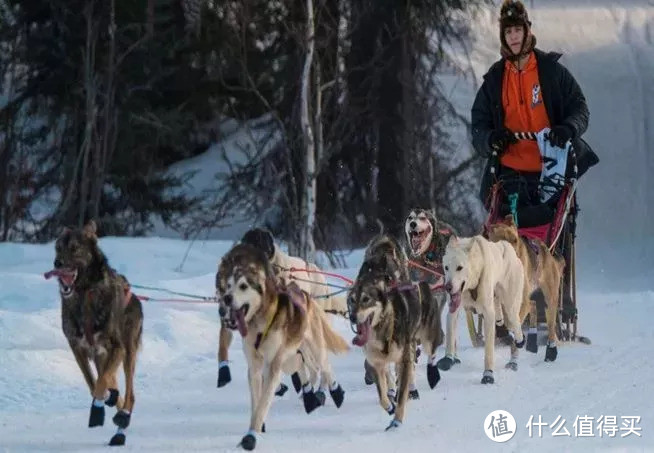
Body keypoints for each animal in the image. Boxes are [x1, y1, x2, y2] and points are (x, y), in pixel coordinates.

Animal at [45, 221, 144, 446]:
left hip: (128, 353)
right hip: (102, 357)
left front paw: (97, 411)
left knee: (130, 395)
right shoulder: (77, 348)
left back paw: (122, 423)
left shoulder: (117, 347)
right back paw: (116, 406)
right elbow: (93, 384)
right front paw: (107, 398)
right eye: (57, 248)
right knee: (112, 384)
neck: (84, 294)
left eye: (74, 248)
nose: (57, 263)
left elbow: (100, 384)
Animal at [217, 242, 352, 450]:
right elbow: (257, 401)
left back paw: (336, 392)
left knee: (325, 367)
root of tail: (305, 295)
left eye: (243, 286)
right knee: (308, 370)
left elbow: (263, 402)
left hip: (312, 349)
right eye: (229, 286)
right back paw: (310, 397)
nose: (227, 298)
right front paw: (256, 426)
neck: (259, 323)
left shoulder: (273, 366)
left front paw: (251, 436)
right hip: (293, 358)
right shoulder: (255, 367)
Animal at [348, 233, 446, 430]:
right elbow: (383, 394)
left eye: (366, 298)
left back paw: (428, 377)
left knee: (430, 354)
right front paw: (390, 404)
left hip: (425, 338)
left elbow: (402, 389)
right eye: (352, 300)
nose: (353, 317)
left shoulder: (405, 357)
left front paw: (397, 420)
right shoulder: (377, 362)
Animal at [440, 235, 528, 384]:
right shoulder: (453, 310)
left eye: (459, 267)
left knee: (516, 324)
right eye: (446, 267)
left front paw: (488, 374)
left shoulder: (488, 315)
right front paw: (448, 358)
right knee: (502, 322)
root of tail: (509, 249)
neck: (471, 287)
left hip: (510, 307)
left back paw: (518, 346)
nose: (448, 287)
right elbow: (450, 336)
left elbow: (488, 351)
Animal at [490, 215, 568, 360]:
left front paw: (516, 336)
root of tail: (549, 253)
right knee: (533, 308)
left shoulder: (522, 302)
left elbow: (513, 321)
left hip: (550, 300)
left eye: (515, 240)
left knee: (551, 327)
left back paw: (551, 350)